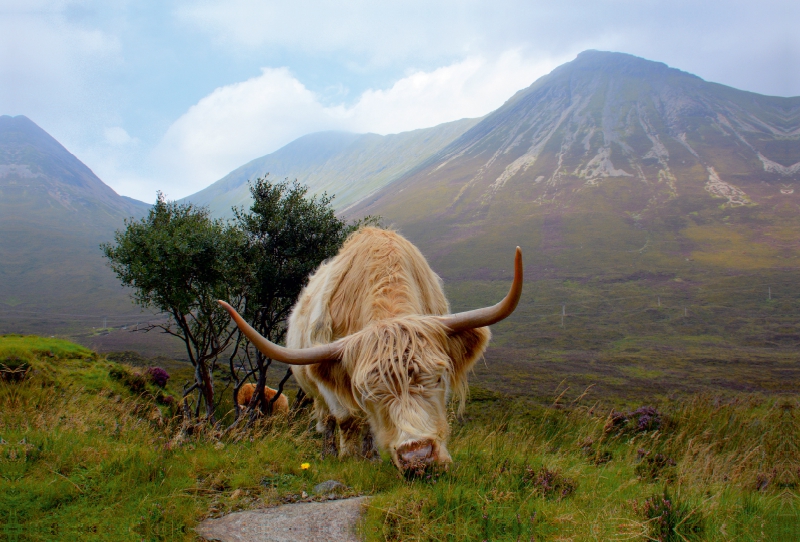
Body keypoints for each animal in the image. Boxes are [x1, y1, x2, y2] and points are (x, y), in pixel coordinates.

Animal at [219, 227, 520, 470]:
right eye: (369, 393)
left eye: (437, 378)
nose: (418, 456)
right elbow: (350, 420)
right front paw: (354, 456)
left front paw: (370, 456)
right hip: (315, 391)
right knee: (329, 421)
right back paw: (332, 454)